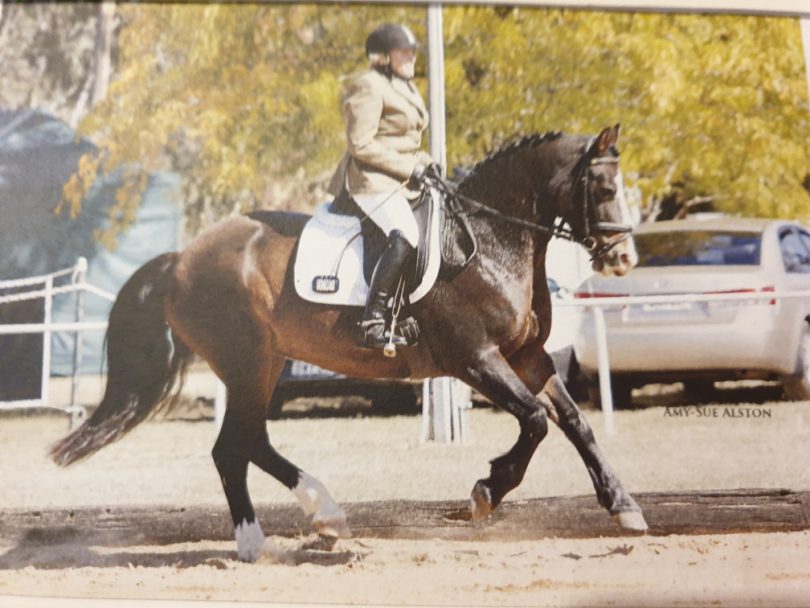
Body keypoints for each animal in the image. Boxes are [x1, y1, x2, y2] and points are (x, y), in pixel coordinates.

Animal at [50, 123, 644, 560]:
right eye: (604, 190)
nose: (624, 259)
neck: (490, 242)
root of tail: (179, 260)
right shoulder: (475, 360)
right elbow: (536, 422)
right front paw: (487, 490)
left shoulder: (527, 357)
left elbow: (576, 422)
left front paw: (623, 505)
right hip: (248, 362)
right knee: (231, 449)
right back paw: (257, 541)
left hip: (264, 364)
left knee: (248, 442)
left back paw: (324, 514)